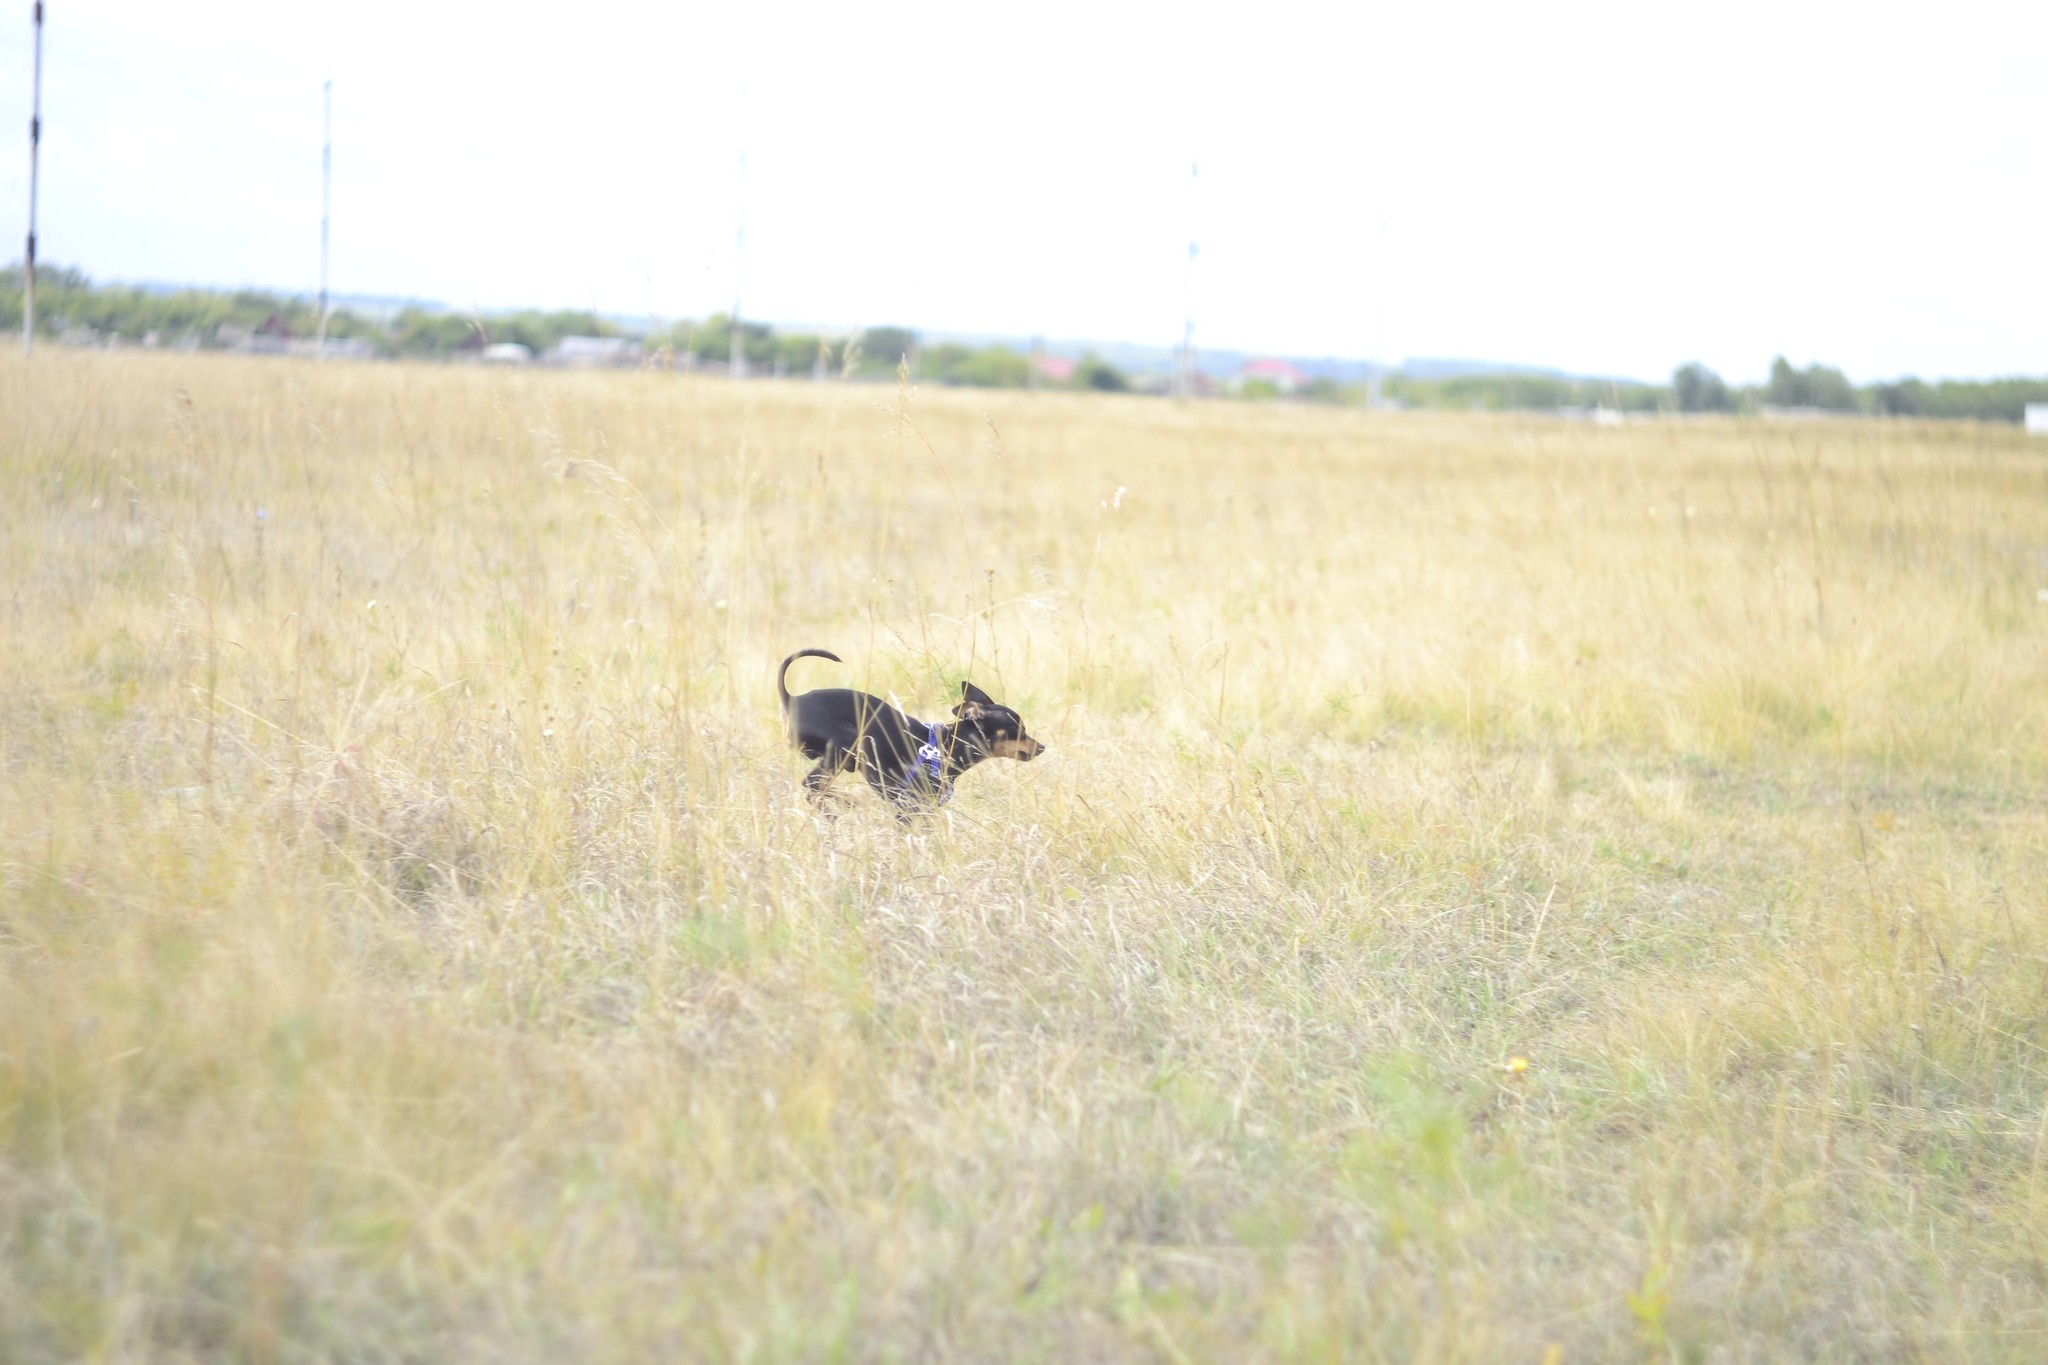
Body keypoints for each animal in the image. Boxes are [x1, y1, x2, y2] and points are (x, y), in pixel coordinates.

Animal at [778, 650, 1048, 818]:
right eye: (1018, 729)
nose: (1042, 747)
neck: (946, 748)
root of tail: (792, 699)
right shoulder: (907, 809)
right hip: (848, 746)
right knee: (812, 785)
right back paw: (849, 803)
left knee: (813, 789)